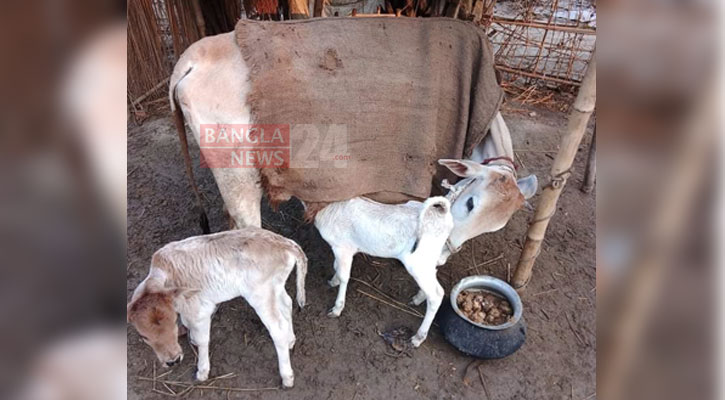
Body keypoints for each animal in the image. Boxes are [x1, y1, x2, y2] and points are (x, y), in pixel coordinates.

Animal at [126, 228, 306, 388]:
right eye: (144, 336)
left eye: (173, 326)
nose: (172, 361)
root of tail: (284, 242)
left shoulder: (199, 310)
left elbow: (202, 340)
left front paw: (202, 372)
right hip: (275, 288)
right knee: (287, 304)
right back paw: (291, 340)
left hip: (260, 295)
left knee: (278, 330)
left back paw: (287, 377)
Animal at [312, 197, 450, 346]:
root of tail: (443, 214)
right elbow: (336, 266)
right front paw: (333, 281)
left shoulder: (343, 247)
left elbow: (344, 276)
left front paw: (336, 309)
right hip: (428, 262)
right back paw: (417, 299)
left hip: (417, 264)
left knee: (436, 295)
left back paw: (418, 338)